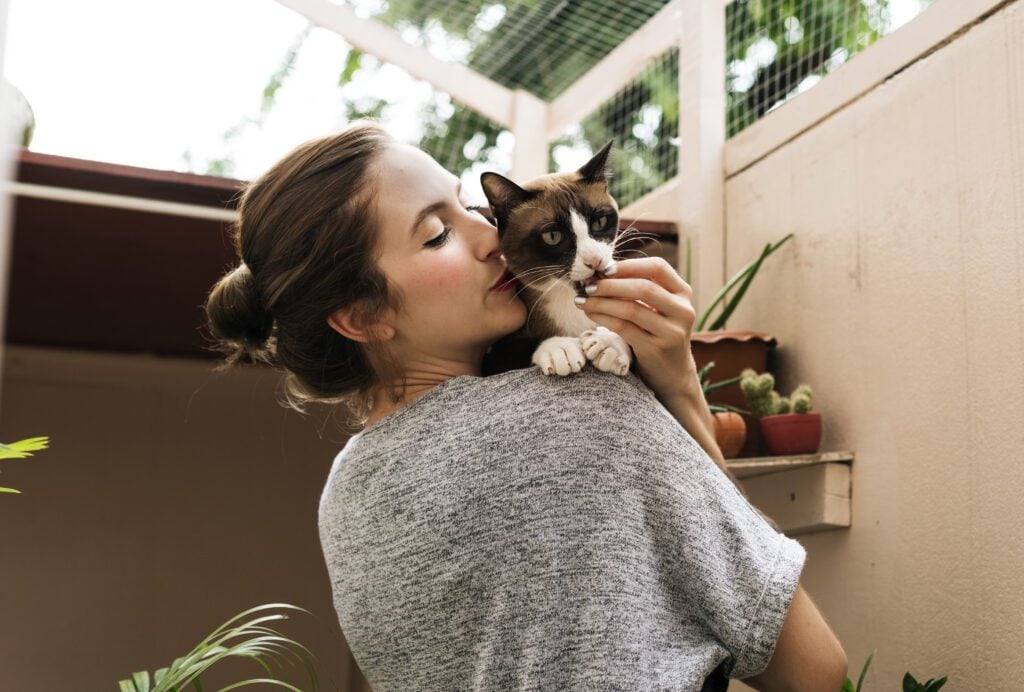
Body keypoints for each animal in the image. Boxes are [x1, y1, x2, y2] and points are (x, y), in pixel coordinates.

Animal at [479, 140, 630, 378]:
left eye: (599, 222)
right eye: (552, 236)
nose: (595, 261)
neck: (568, 301)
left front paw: (609, 343)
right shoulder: (491, 357)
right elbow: (523, 345)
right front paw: (561, 347)